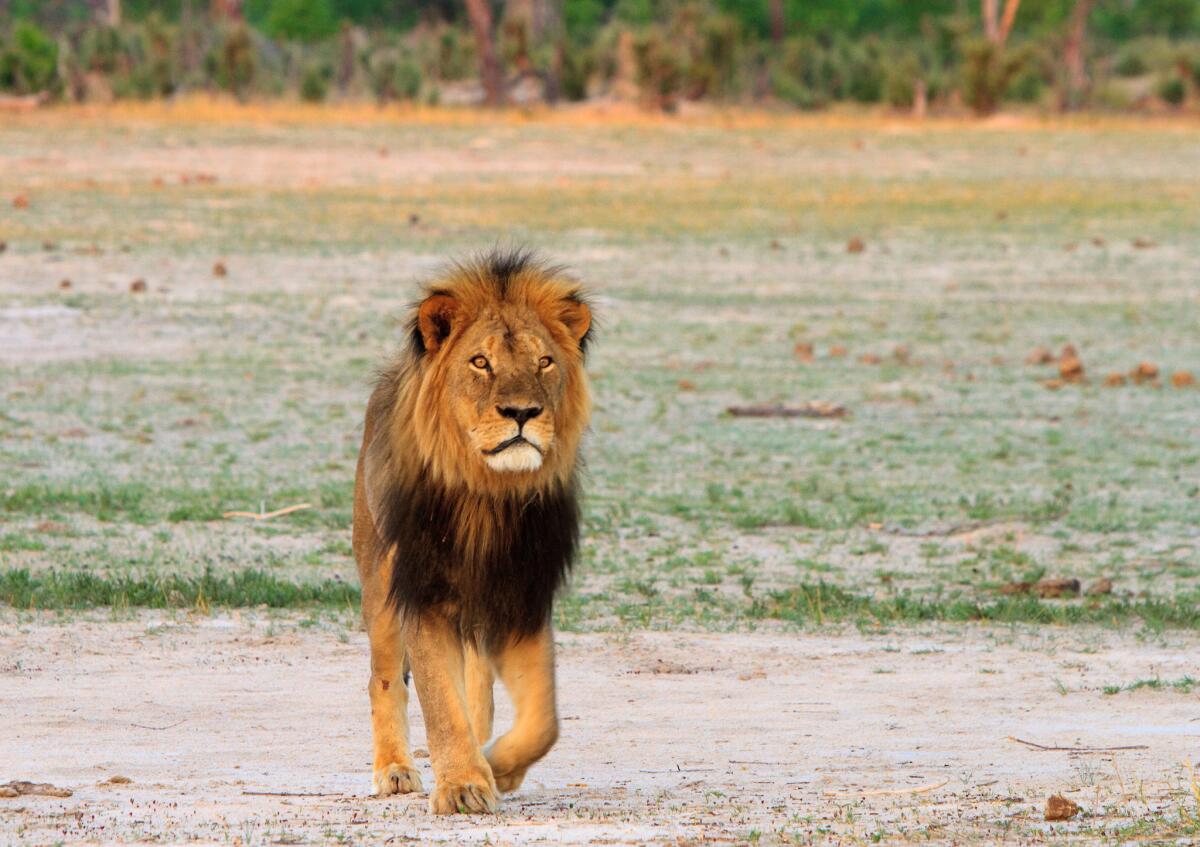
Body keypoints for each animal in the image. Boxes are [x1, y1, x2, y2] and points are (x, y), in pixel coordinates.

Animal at [350, 249, 595, 811]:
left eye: (544, 362)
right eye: (480, 362)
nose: (523, 412)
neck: (488, 494)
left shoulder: (524, 597)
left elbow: (543, 720)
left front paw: (496, 767)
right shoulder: (423, 593)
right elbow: (441, 702)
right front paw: (462, 786)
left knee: (478, 687)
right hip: (379, 584)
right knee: (384, 679)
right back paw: (394, 770)